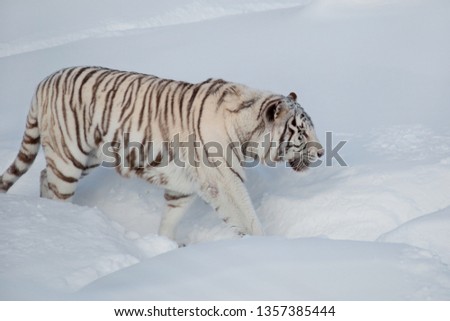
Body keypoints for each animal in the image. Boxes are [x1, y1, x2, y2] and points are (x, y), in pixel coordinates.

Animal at [0, 65, 324, 240]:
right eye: (301, 131)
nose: (321, 153)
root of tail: (42, 83)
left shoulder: (186, 182)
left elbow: (171, 215)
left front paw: (167, 246)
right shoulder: (223, 180)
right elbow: (247, 216)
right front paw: (266, 245)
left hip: (89, 156)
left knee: (44, 175)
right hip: (69, 156)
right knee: (56, 187)